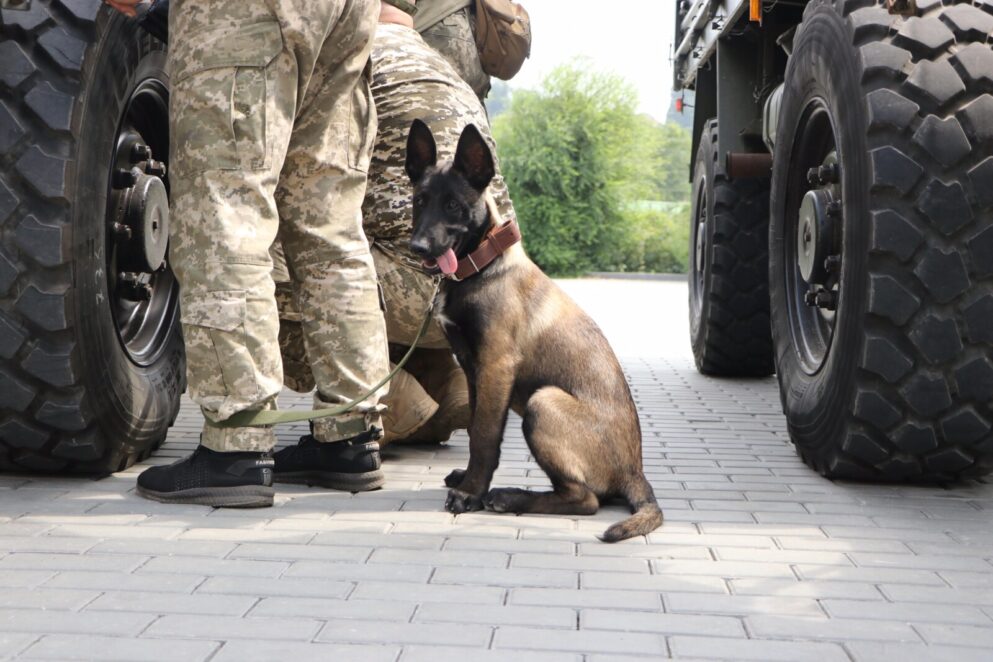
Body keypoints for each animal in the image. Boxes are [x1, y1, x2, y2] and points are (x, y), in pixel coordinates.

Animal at [400, 120, 664, 544]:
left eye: (454, 205)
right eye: (420, 201)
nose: (419, 247)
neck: (481, 269)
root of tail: (634, 472)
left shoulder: (496, 366)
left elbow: (484, 436)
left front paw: (471, 493)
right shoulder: (473, 369)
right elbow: (475, 428)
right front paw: (471, 481)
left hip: (544, 402)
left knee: (586, 500)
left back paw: (510, 497)